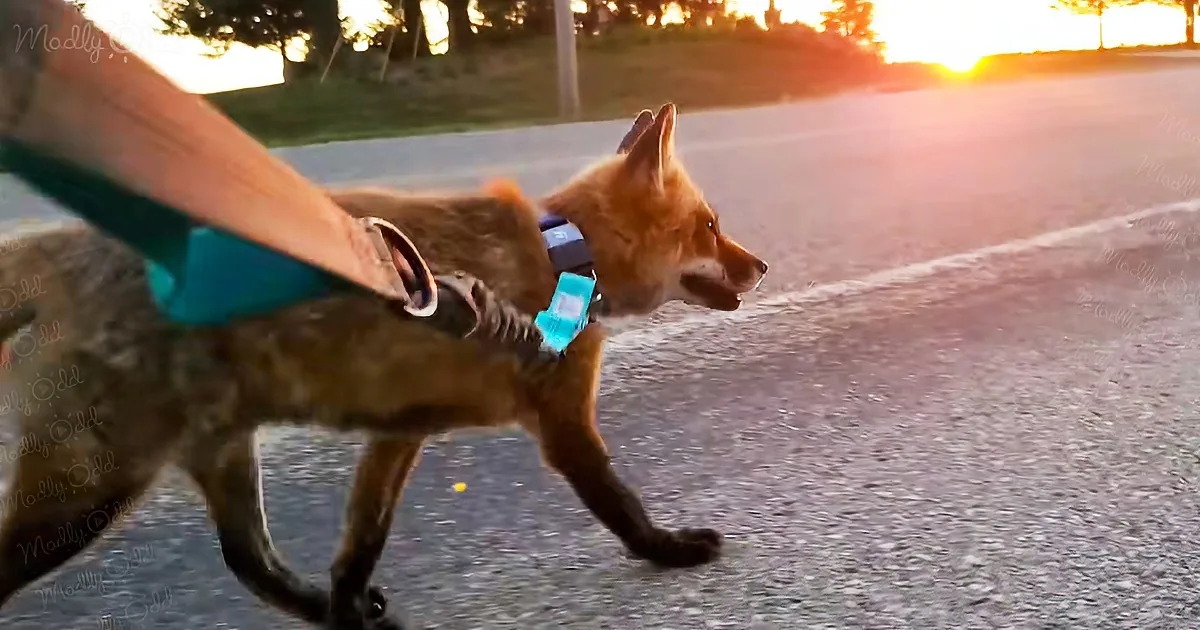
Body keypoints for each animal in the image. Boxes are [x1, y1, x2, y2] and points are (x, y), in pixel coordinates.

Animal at [0, 102, 767, 629]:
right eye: (710, 227)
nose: (760, 266)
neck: (562, 258)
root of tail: (64, 243)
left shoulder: (400, 430)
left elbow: (361, 542)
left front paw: (346, 607)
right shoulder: (562, 424)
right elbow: (621, 505)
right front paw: (669, 549)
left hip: (220, 455)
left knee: (251, 564)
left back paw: (334, 612)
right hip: (90, 491)